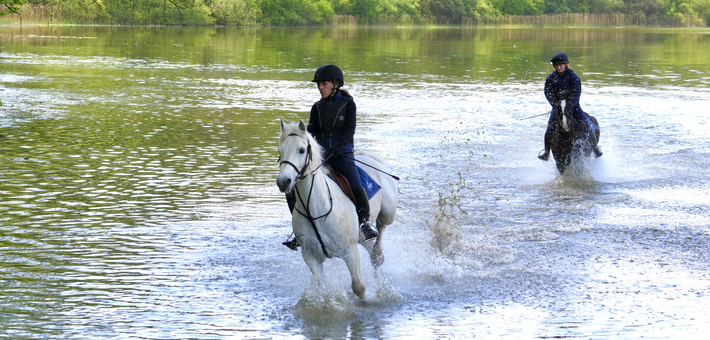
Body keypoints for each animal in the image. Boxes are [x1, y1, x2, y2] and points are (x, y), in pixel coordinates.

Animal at [278, 118, 400, 298]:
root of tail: (373, 160)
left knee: (380, 233)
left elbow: (359, 287)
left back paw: (377, 254)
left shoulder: (350, 252)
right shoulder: (310, 256)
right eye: (279, 151)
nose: (283, 182)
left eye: (301, 150)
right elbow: (322, 287)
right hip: (361, 237)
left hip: (387, 213)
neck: (314, 207)